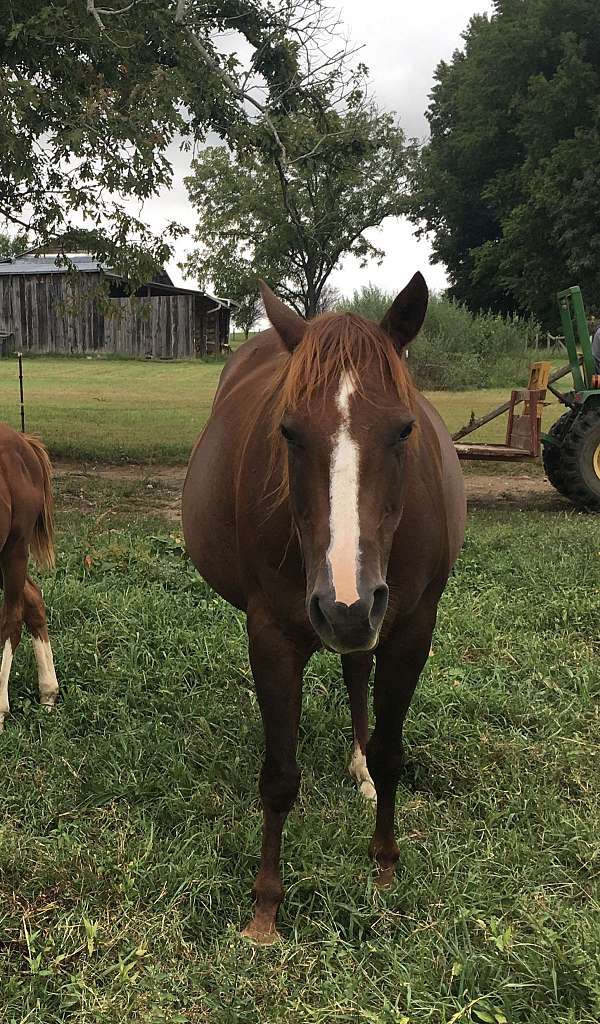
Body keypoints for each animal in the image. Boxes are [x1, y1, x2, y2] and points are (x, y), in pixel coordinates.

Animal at [182, 273, 466, 942]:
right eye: (288, 431)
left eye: (404, 430)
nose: (345, 606)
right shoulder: (273, 636)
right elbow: (280, 777)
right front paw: (265, 906)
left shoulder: (410, 629)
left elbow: (391, 753)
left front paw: (384, 866)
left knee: (358, 672)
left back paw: (358, 767)